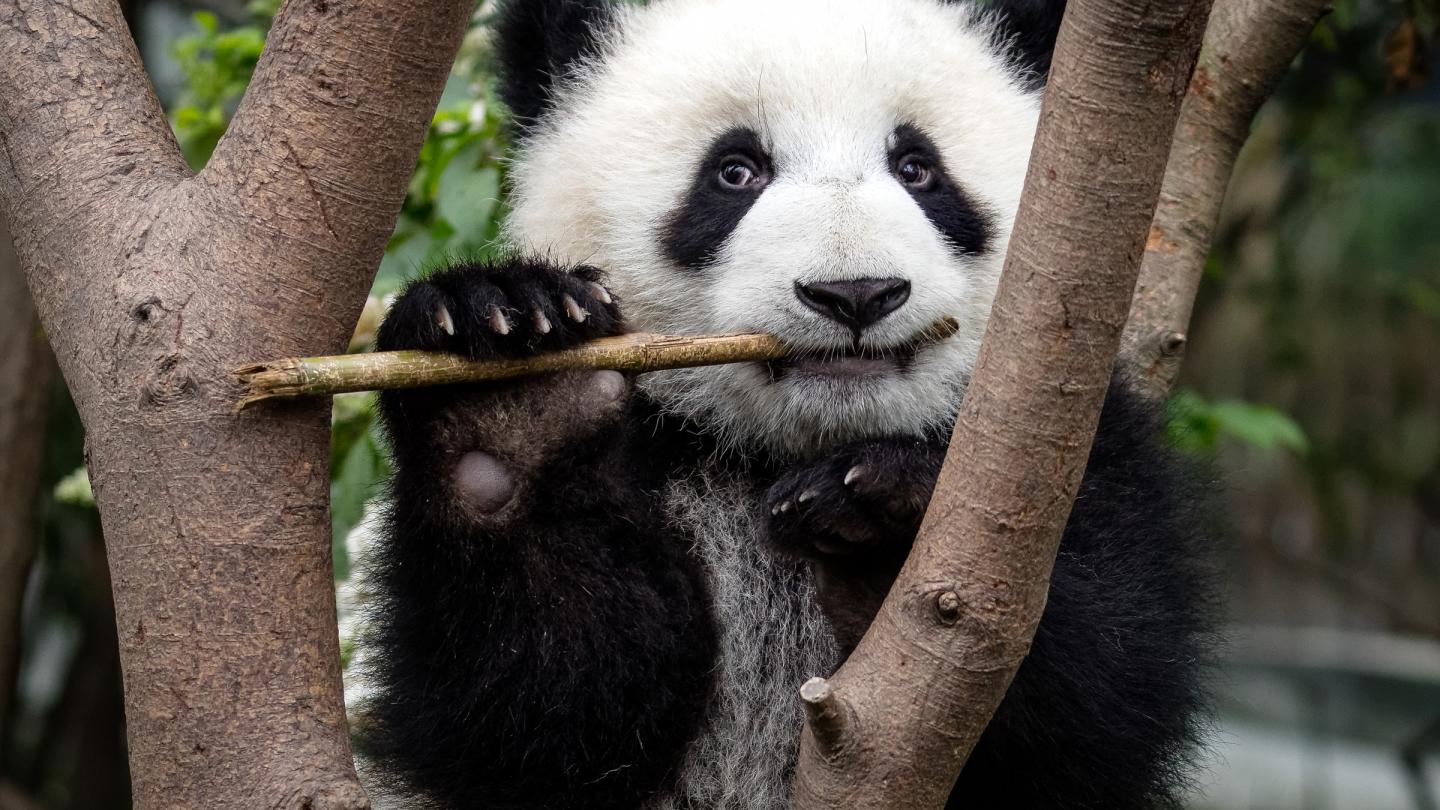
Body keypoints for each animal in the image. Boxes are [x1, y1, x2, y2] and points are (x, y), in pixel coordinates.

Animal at [358, 0, 1215, 808]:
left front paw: (880, 516)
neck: (783, 449)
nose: (857, 293)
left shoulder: (1074, 448)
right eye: (736, 172)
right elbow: (541, 712)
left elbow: (1101, 694)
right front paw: (516, 398)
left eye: (918, 168)